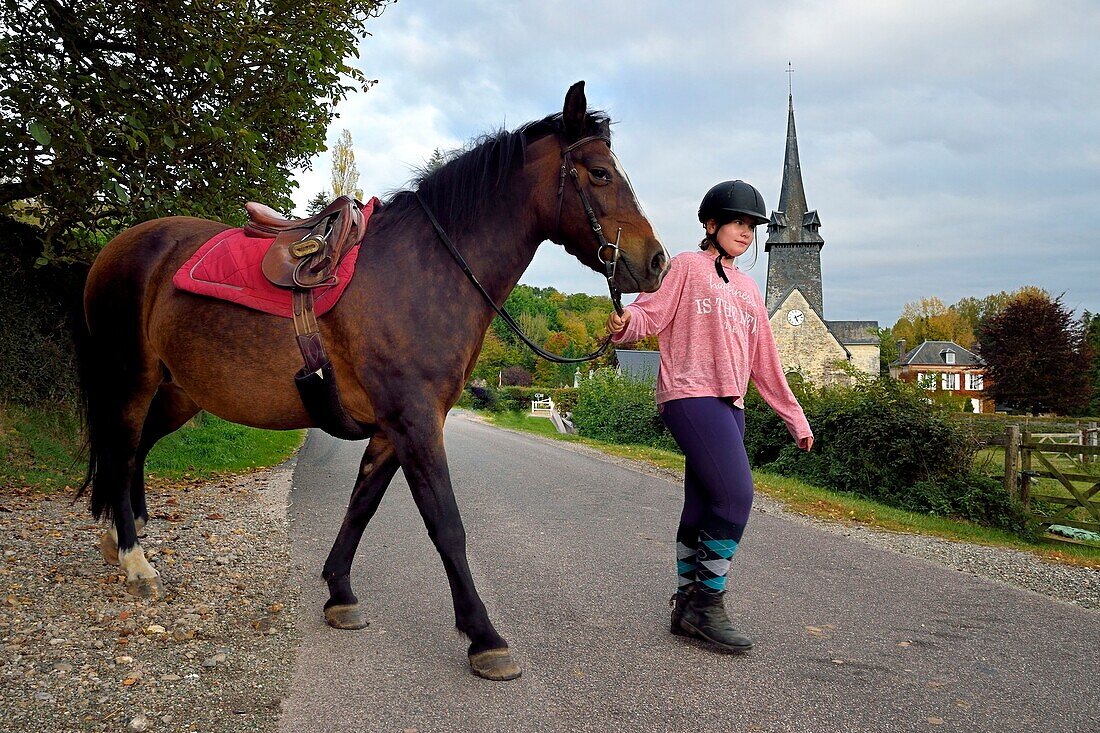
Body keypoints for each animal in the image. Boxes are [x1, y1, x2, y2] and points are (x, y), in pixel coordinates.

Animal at [77, 81, 664, 677]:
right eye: (600, 173)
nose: (656, 263)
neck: (427, 271)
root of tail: (114, 247)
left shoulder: (392, 427)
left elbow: (362, 506)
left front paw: (340, 594)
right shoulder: (415, 421)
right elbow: (446, 524)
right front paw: (484, 636)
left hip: (178, 393)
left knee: (134, 451)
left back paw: (117, 539)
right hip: (132, 381)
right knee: (122, 451)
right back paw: (135, 561)